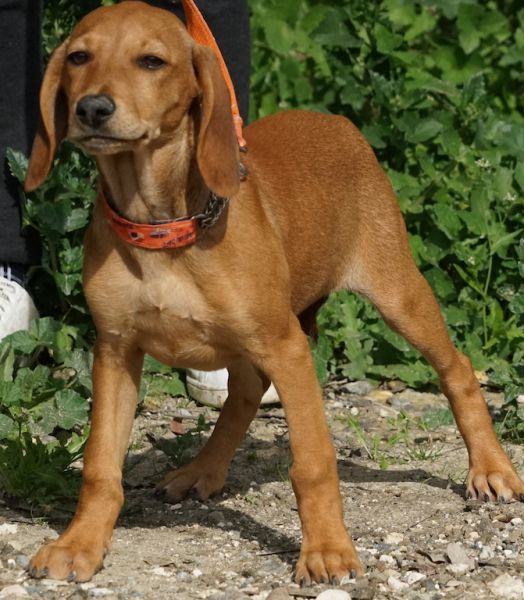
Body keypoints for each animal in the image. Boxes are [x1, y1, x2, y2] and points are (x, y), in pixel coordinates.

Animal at [24, 1, 524, 584]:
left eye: (151, 61)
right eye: (79, 57)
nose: (93, 109)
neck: (161, 228)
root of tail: (334, 120)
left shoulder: (287, 347)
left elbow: (313, 463)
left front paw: (327, 550)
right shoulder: (114, 351)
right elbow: (101, 465)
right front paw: (79, 542)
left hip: (396, 293)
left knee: (457, 369)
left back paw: (491, 468)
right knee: (243, 393)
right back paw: (200, 470)